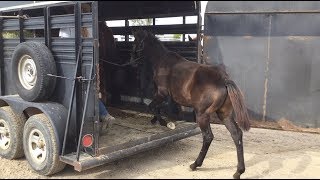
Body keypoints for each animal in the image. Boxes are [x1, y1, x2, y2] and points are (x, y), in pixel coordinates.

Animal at [130, 29, 250, 179]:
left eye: (136, 41)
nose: (132, 60)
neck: (162, 61)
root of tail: (223, 80)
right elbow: (167, 107)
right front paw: (162, 120)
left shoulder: (162, 93)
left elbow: (153, 106)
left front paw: (163, 122)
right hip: (225, 115)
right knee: (236, 135)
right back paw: (238, 171)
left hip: (202, 115)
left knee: (208, 137)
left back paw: (195, 164)